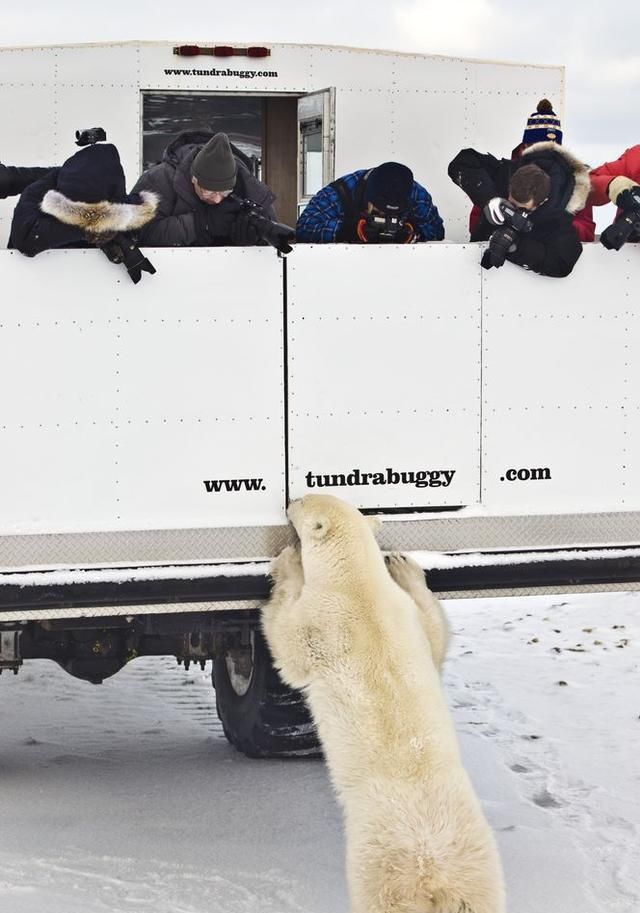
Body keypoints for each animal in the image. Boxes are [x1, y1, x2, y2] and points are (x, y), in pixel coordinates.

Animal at [260, 496, 504, 912]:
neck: (357, 583)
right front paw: (405, 565)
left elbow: (287, 645)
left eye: (305, 504)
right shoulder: (402, 612)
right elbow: (434, 634)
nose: (291, 501)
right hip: (478, 869)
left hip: (380, 866)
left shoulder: (322, 621)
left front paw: (289, 563)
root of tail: (432, 869)